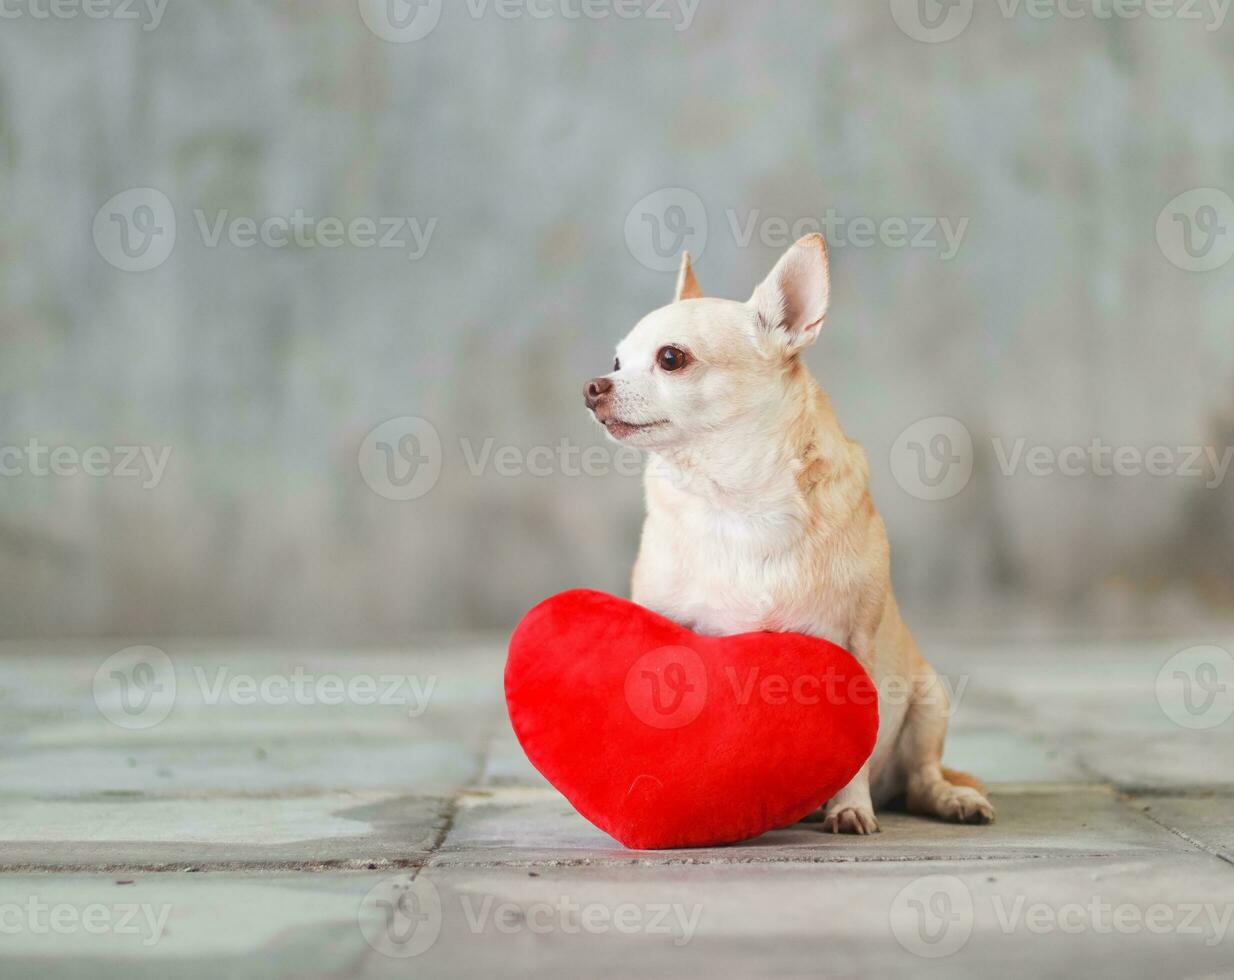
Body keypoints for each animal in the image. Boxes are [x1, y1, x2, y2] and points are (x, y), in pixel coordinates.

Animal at [582, 233, 997, 829]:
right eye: (616, 361)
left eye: (670, 359)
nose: (594, 385)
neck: (735, 497)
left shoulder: (854, 647)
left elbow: (855, 749)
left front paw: (849, 808)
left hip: (928, 697)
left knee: (921, 778)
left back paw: (949, 799)